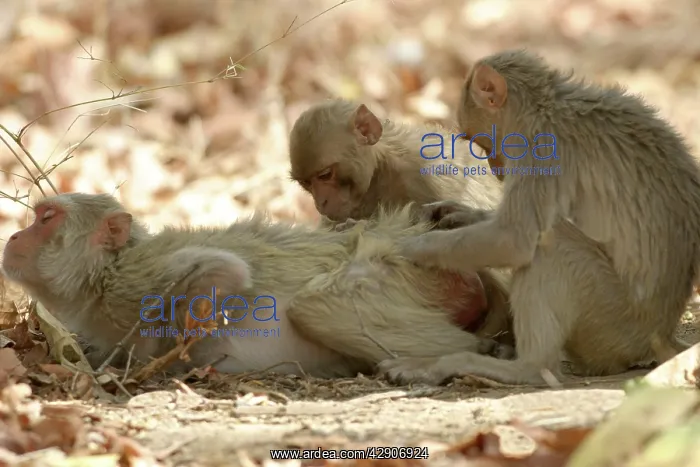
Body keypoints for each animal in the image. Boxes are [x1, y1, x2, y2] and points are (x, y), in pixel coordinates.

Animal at [1, 193, 514, 378]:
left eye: (46, 218)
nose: (14, 236)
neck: (100, 277)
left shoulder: (135, 280)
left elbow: (225, 271)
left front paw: (163, 357)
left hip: (407, 272)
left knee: (316, 304)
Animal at [377, 49, 700, 386]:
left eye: (478, 140)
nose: (496, 170)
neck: (545, 109)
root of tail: (659, 335)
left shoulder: (541, 152)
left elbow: (513, 241)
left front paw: (413, 248)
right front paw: (457, 215)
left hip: (614, 322)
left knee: (553, 245)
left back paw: (517, 367)